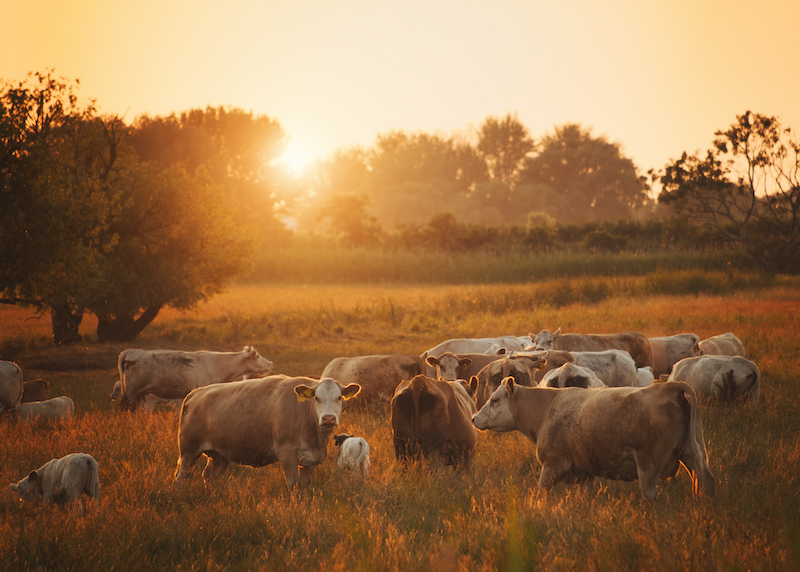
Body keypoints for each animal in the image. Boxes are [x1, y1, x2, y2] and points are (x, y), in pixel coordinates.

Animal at [118, 346, 274, 411]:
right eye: (257, 356)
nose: (271, 363)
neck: (219, 364)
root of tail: (130, 351)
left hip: (139, 394)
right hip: (131, 392)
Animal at [174, 376, 361, 488]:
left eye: (339, 397)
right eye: (316, 398)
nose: (328, 418)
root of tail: (196, 393)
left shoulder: (309, 462)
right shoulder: (287, 455)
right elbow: (293, 485)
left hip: (219, 455)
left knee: (209, 476)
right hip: (188, 450)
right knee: (181, 474)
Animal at [472, 377, 715, 501]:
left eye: (495, 400)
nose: (474, 418)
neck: (546, 409)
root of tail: (670, 387)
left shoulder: (552, 464)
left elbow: (541, 492)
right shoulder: (585, 472)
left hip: (649, 464)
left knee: (649, 494)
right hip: (692, 452)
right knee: (706, 481)